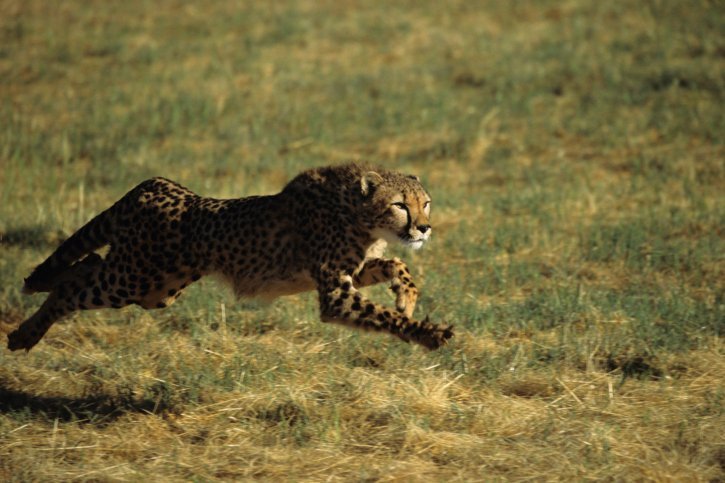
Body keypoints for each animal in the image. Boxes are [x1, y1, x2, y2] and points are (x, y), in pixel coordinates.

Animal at [7, 162, 453, 352]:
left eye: (426, 202)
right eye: (400, 205)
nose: (424, 227)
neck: (356, 212)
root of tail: (155, 184)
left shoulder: (351, 273)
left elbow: (397, 265)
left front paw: (406, 296)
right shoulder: (336, 294)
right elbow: (384, 315)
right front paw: (426, 333)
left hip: (154, 289)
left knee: (84, 267)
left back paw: (29, 325)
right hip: (134, 279)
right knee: (75, 286)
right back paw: (23, 335)